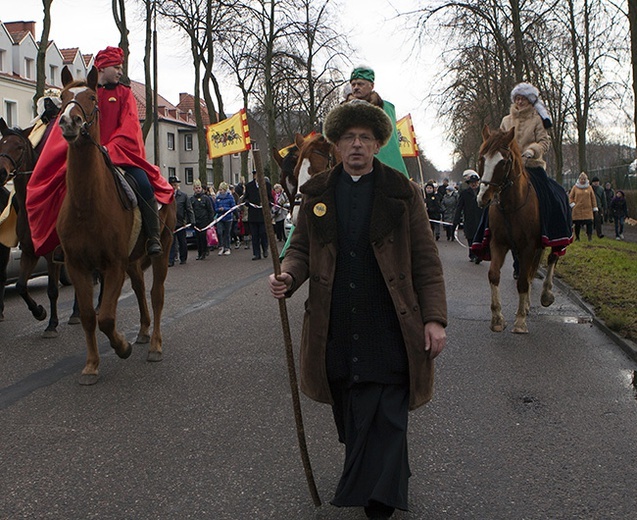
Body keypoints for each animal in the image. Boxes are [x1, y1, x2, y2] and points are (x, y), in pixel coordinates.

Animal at [0, 119, 66, 336]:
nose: (1, 172)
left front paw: (52, 324)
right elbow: (21, 286)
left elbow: (52, 290)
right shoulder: (29, 252)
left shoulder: (52, 254)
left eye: (19, 147)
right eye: (1, 144)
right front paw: (39, 312)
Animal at [57, 66, 175, 386]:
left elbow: (107, 317)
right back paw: (144, 332)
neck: (86, 205)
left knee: (156, 294)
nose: (69, 121)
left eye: (91, 97)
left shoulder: (113, 264)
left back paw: (156, 344)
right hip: (133, 260)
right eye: (62, 98)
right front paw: (91, 365)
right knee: (139, 290)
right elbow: (89, 316)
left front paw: (121, 346)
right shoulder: (78, 266)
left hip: (163, 249)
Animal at [476, 128, 556, 336]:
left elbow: (522, 282)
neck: (511, 207)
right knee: (528, 272)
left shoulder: (528, 246)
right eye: (482, 158)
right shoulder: (498, 243)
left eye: (503, 162)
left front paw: (520, 322)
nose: (483, 198)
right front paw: (497, 319)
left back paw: (546, 294)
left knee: (552, 258)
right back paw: (527, 305)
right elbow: (494, 275)